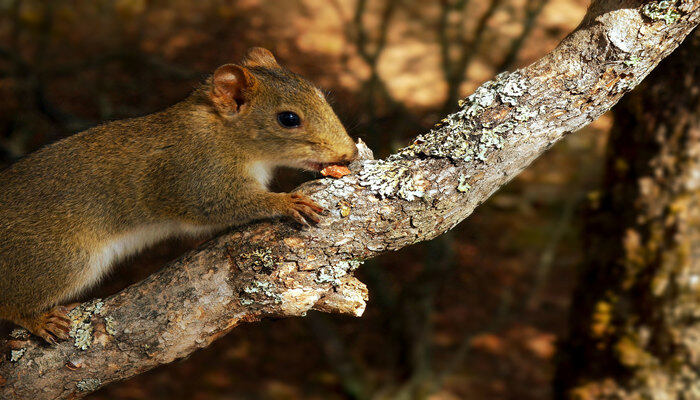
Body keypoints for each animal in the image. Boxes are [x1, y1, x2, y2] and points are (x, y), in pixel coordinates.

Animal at [0, 46, 358, 340]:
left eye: (320, 94)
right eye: (288, 118)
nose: (349, 153)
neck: (223, 133)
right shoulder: (195, 178)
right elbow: (221, 206)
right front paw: (285, 201)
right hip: (58, 260)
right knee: (10, 304)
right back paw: (38, 321)